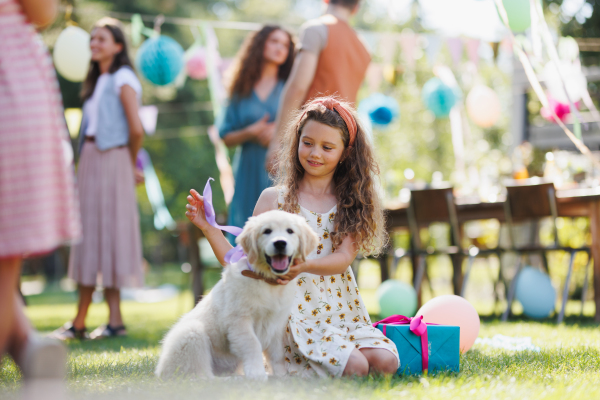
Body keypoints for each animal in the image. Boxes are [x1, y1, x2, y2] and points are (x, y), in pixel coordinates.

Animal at [155, 211, 318, 380]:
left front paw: (280, 375)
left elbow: (277, 353)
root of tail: (160, 371)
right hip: (192, 333)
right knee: (200, 376)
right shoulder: (239, 319)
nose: (280, 243)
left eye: (290, 231)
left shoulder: (276, 323)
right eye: (267, 231)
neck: (266, 280)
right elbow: (252, 344)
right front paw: (257, 374)